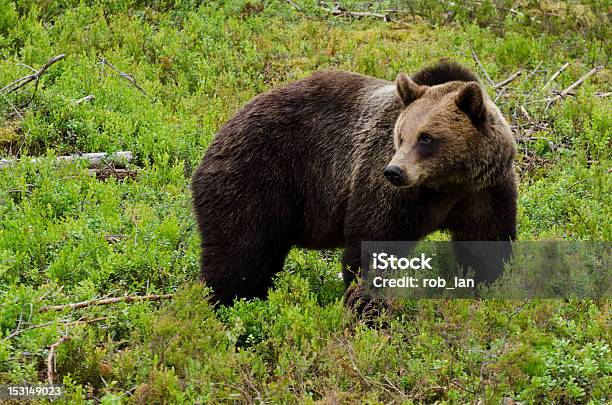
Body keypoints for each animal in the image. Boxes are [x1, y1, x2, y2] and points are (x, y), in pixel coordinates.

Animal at [192, 61, 516, 304]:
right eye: (401, 135)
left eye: (426, 138)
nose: (394, 171)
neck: (446, 184)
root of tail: (219, 133)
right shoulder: (390, 191)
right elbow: (374, 243)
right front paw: (365, 303)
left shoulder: (485, 191)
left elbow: (487, 242)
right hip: (257, 179)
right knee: (239, 253)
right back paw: (225, 305)